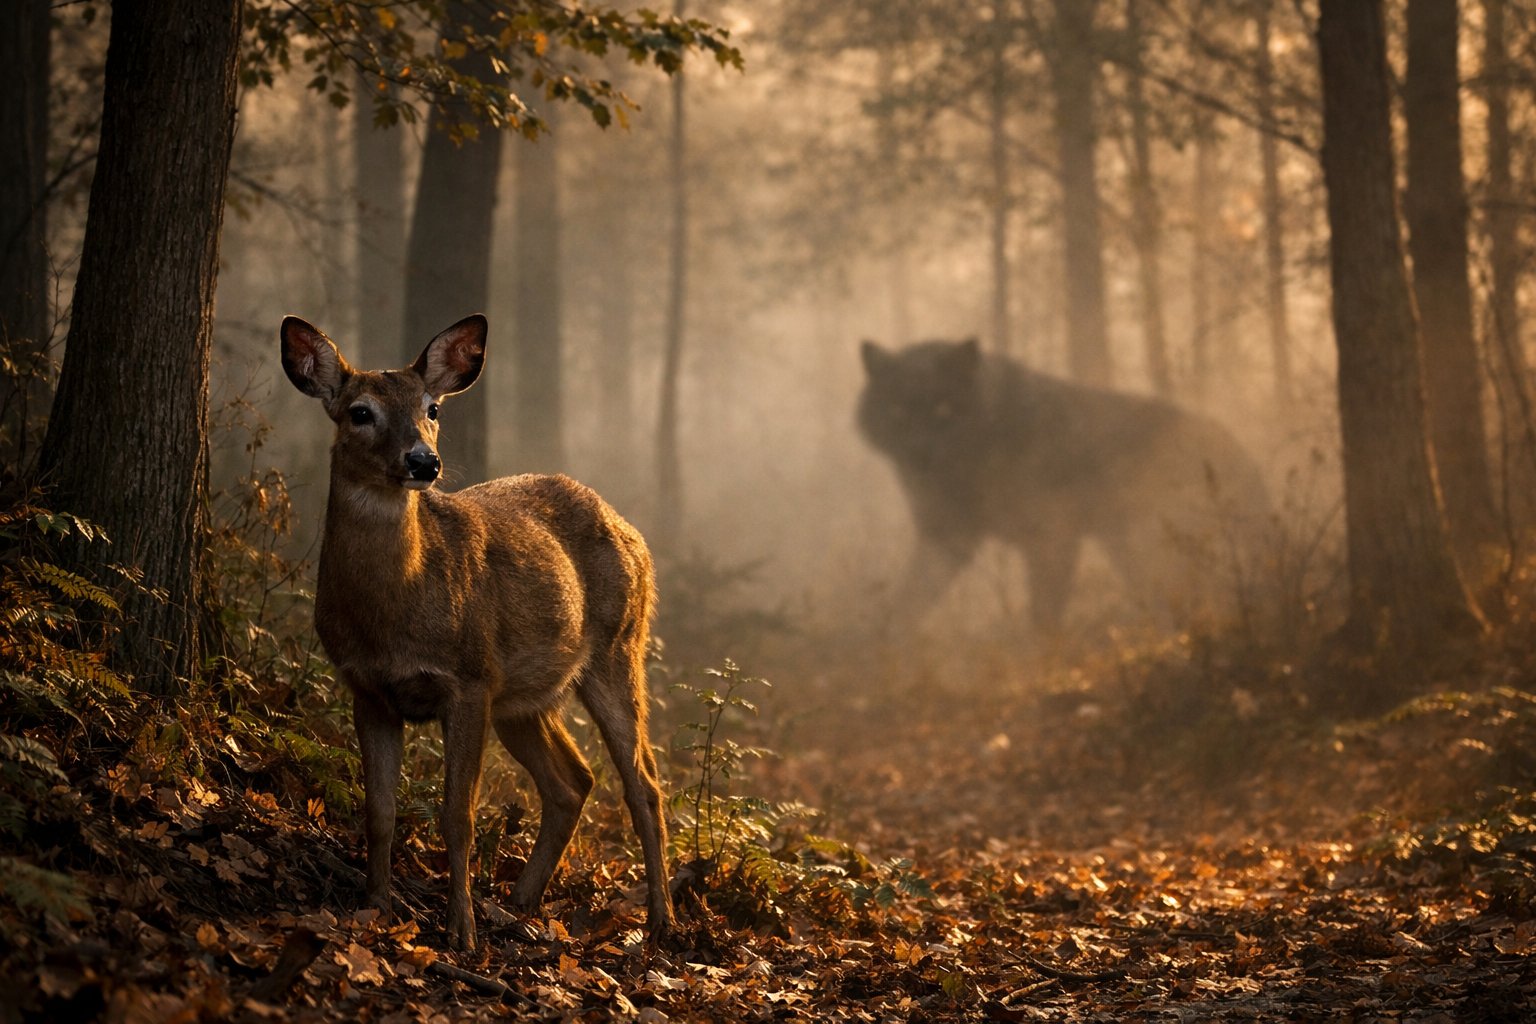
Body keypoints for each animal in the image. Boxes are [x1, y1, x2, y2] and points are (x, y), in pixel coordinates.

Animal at [279, 313, 675, 951]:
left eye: (433, 408)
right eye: (360, 412)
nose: (423, 462)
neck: (393, 614)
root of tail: (635, 534)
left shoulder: (466, 680)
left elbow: (456, 816)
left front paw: (460, 930)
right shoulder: (369, 690)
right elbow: (379, 811)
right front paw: (375, 907)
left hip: (618, 649)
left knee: (643, 782)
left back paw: (662, 921)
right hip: (520, 695)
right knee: (574, 780)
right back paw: (519, 903)